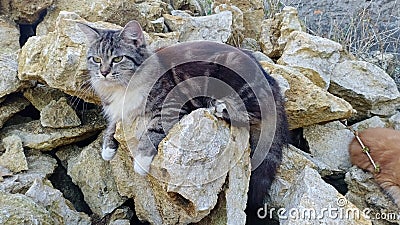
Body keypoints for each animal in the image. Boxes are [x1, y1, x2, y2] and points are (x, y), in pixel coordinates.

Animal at [76, 20, 290, 210]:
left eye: (117, 59)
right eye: (96, 59)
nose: (104, 72)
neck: (122, 88)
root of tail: (271, 80)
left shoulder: (170, 106)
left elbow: (152, 132)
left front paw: (141, 162)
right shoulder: (119, 112)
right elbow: (112, 125)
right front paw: (107, 148)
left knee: (250, 114)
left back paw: (216, 108)